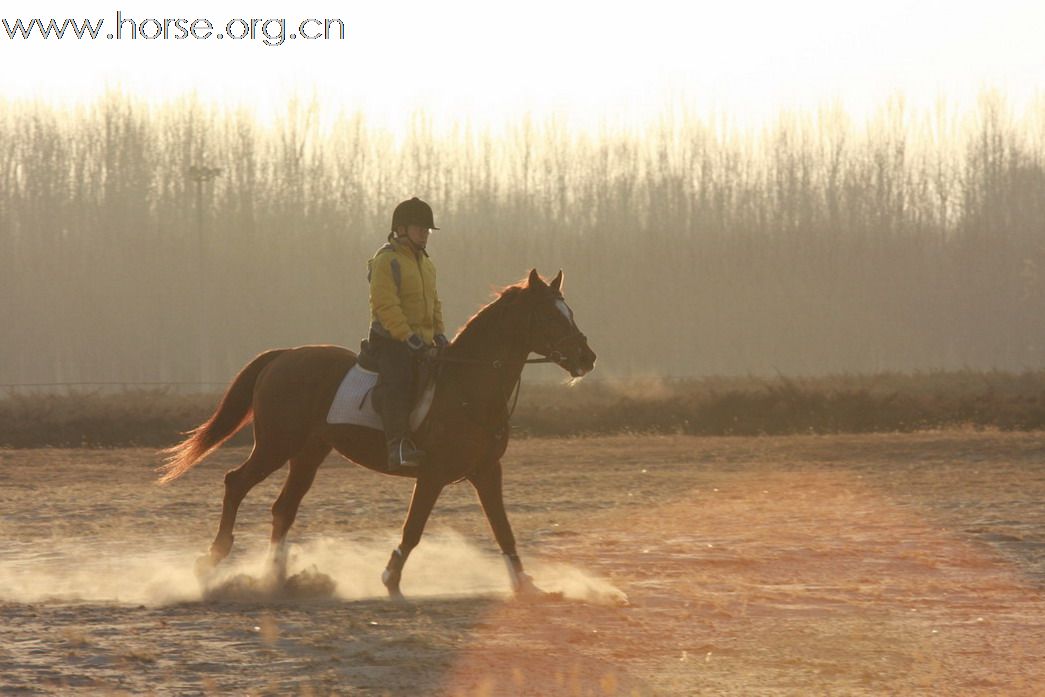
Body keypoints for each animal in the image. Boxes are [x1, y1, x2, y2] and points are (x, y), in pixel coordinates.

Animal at [154, 269, 597, 597]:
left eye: (571, 311)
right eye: (551, 316)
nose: (587, 358)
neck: (467, 385)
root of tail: (283, 357)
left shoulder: (487, 472)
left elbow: (503, 529)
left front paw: (527, 586)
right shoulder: (432, 474)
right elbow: (414, 528)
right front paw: (390, 580)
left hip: (308, 454)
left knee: (283, 509)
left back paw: (276, 579)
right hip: (276, 446)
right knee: (236, 483)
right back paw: (213, 560)